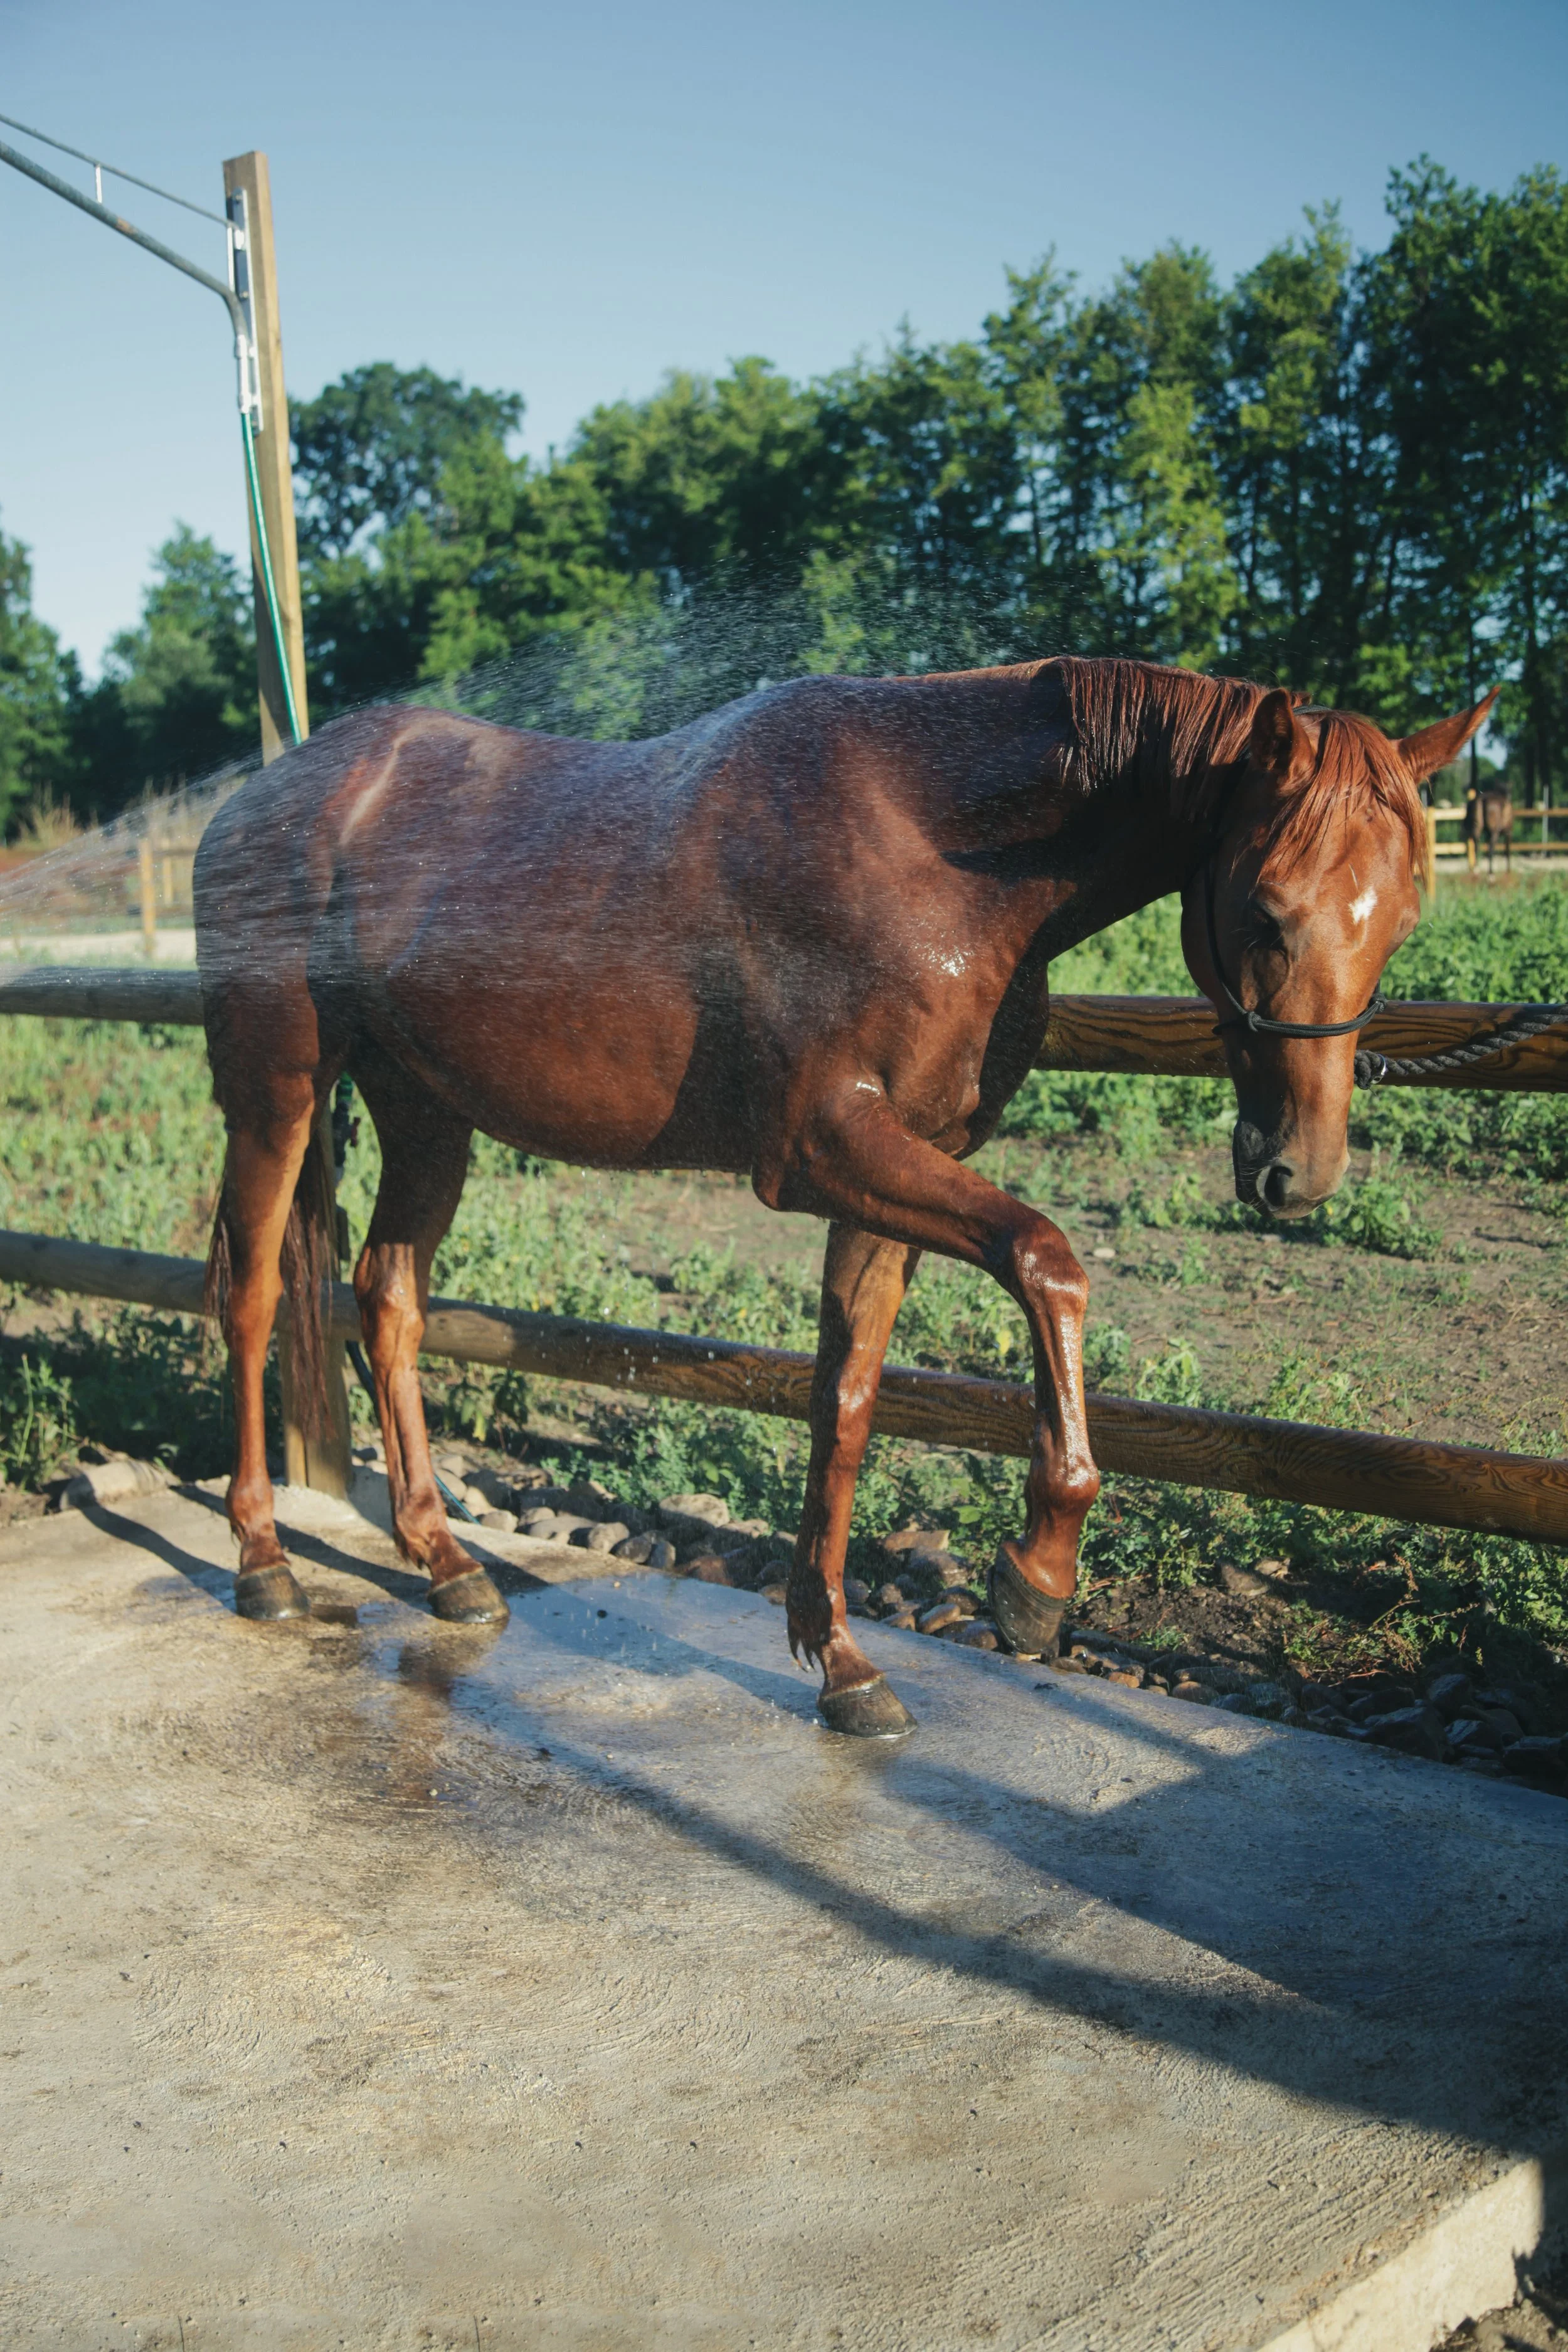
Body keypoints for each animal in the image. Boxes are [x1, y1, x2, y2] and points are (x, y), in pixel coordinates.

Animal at [193, 658, 1494, 1738]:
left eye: (1404, 917)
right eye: (1266, 909)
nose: (1299, 1174)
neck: (931, 846)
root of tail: (258, 801)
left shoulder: (885, 1179)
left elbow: (849, 1400)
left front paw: (841, 1661)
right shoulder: (826, 1148)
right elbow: (1050, 1262)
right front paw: (1036, 1576)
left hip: (427, 1116)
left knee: (387, 1301)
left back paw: (447, 1565)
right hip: (278, 1098)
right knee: (253, 1296)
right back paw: (262, 1560)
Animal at [1462, 784, 1513, 873]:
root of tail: (1482, 799)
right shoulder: (1508, 833)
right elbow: (1507, 851)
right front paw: (1508, 870)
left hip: (1477, 830)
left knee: (1477, 847)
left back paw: (1477, 870)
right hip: (1495, 833)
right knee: (1491, 849)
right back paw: (1491, 873)